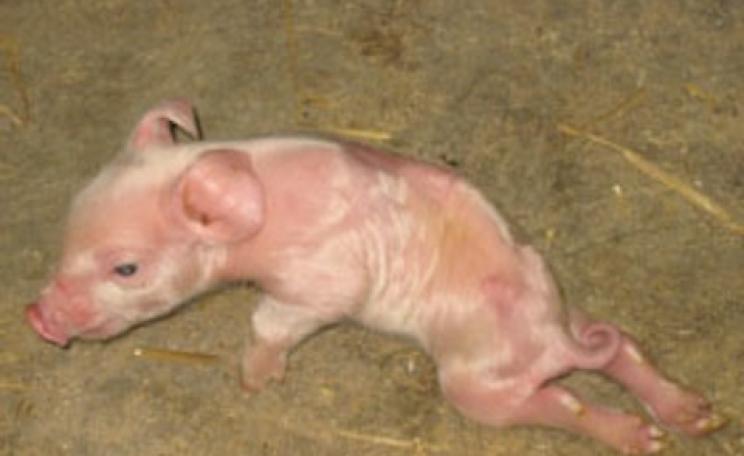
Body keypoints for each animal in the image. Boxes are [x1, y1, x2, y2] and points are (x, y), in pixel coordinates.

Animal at [27, 100, 724, 453]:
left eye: (126, 267)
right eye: (65, 233)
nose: (39, 317)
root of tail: (556, 339)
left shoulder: (325, 281)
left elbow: (273, 318)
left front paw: (254, 381)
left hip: (472, 381)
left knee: (563, 402)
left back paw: (647, 439)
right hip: (568, 311)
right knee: (620, 342)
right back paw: (697, 419)